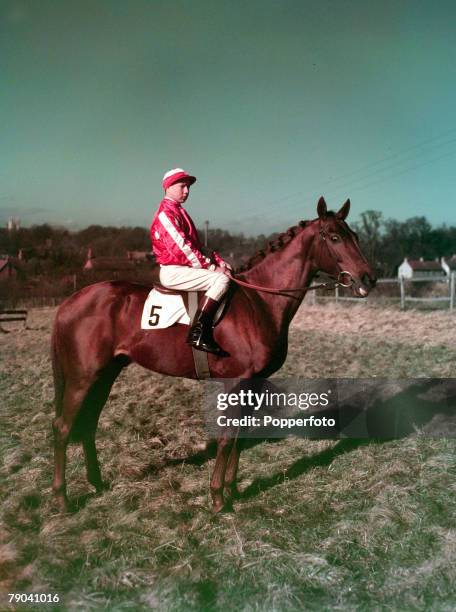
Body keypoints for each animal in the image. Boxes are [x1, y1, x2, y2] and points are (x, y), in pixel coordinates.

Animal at [51, 197, 376, 512]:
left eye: (355, 235)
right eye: (334, 237)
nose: (368, 279)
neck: (259, 300)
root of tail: (70, 302)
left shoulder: (253, 385)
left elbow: (240, 437)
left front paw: (233, 491)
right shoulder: (236, 383)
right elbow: (226, 437)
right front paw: (218, 498)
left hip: (105, 375)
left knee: (88, 425)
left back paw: (96, 483)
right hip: (83, 378)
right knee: (63, 427)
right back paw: (62, 500)